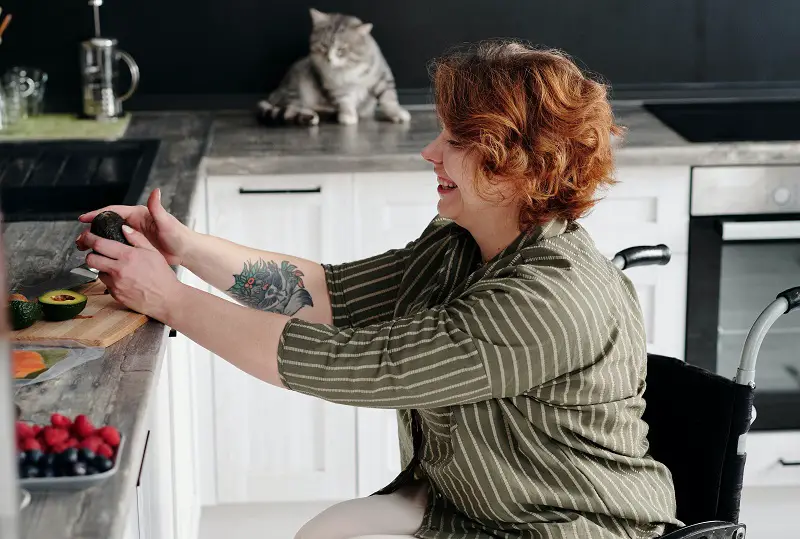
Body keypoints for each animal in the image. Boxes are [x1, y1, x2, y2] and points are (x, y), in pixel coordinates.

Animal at [260, 8, 412, 126]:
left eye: (341, 49)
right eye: (323, 45)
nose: (329, 59)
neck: (349, 69)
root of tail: (274, 93)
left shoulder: (382, 76)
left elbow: (388, 98)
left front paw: (397, 113)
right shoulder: (336, 87)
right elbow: (345, 101)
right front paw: (348, 115)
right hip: (297, 86)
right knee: (292, 107)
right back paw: (311, 114)